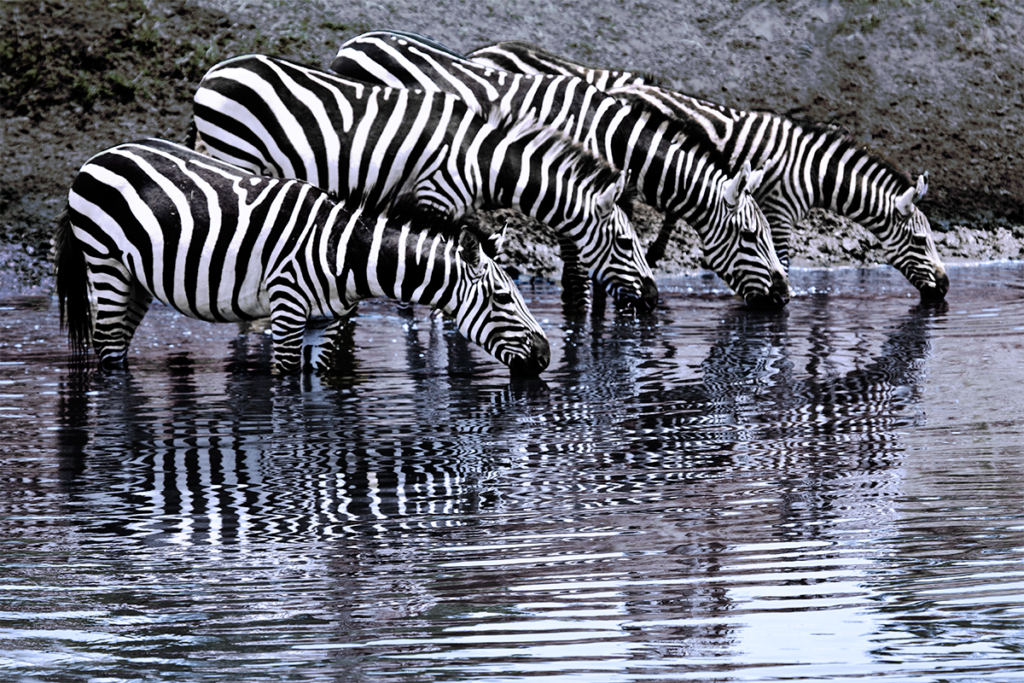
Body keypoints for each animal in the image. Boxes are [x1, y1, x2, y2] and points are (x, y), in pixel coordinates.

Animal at [53, 138, 551, 376]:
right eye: (503, 298)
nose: (546, 357)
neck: (347, 255)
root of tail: (97, 157)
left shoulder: (324, 321)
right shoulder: (288, 308)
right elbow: (289, 385)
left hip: (137, 279)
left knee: (116, 348)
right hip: (106, 265)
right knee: (107, 349)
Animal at [192, 54, 656, 311]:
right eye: (625, 243)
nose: (653, 298)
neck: (481, 159)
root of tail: (213, 72)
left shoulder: (455, 207)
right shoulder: (434, 196)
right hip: (235, 153)